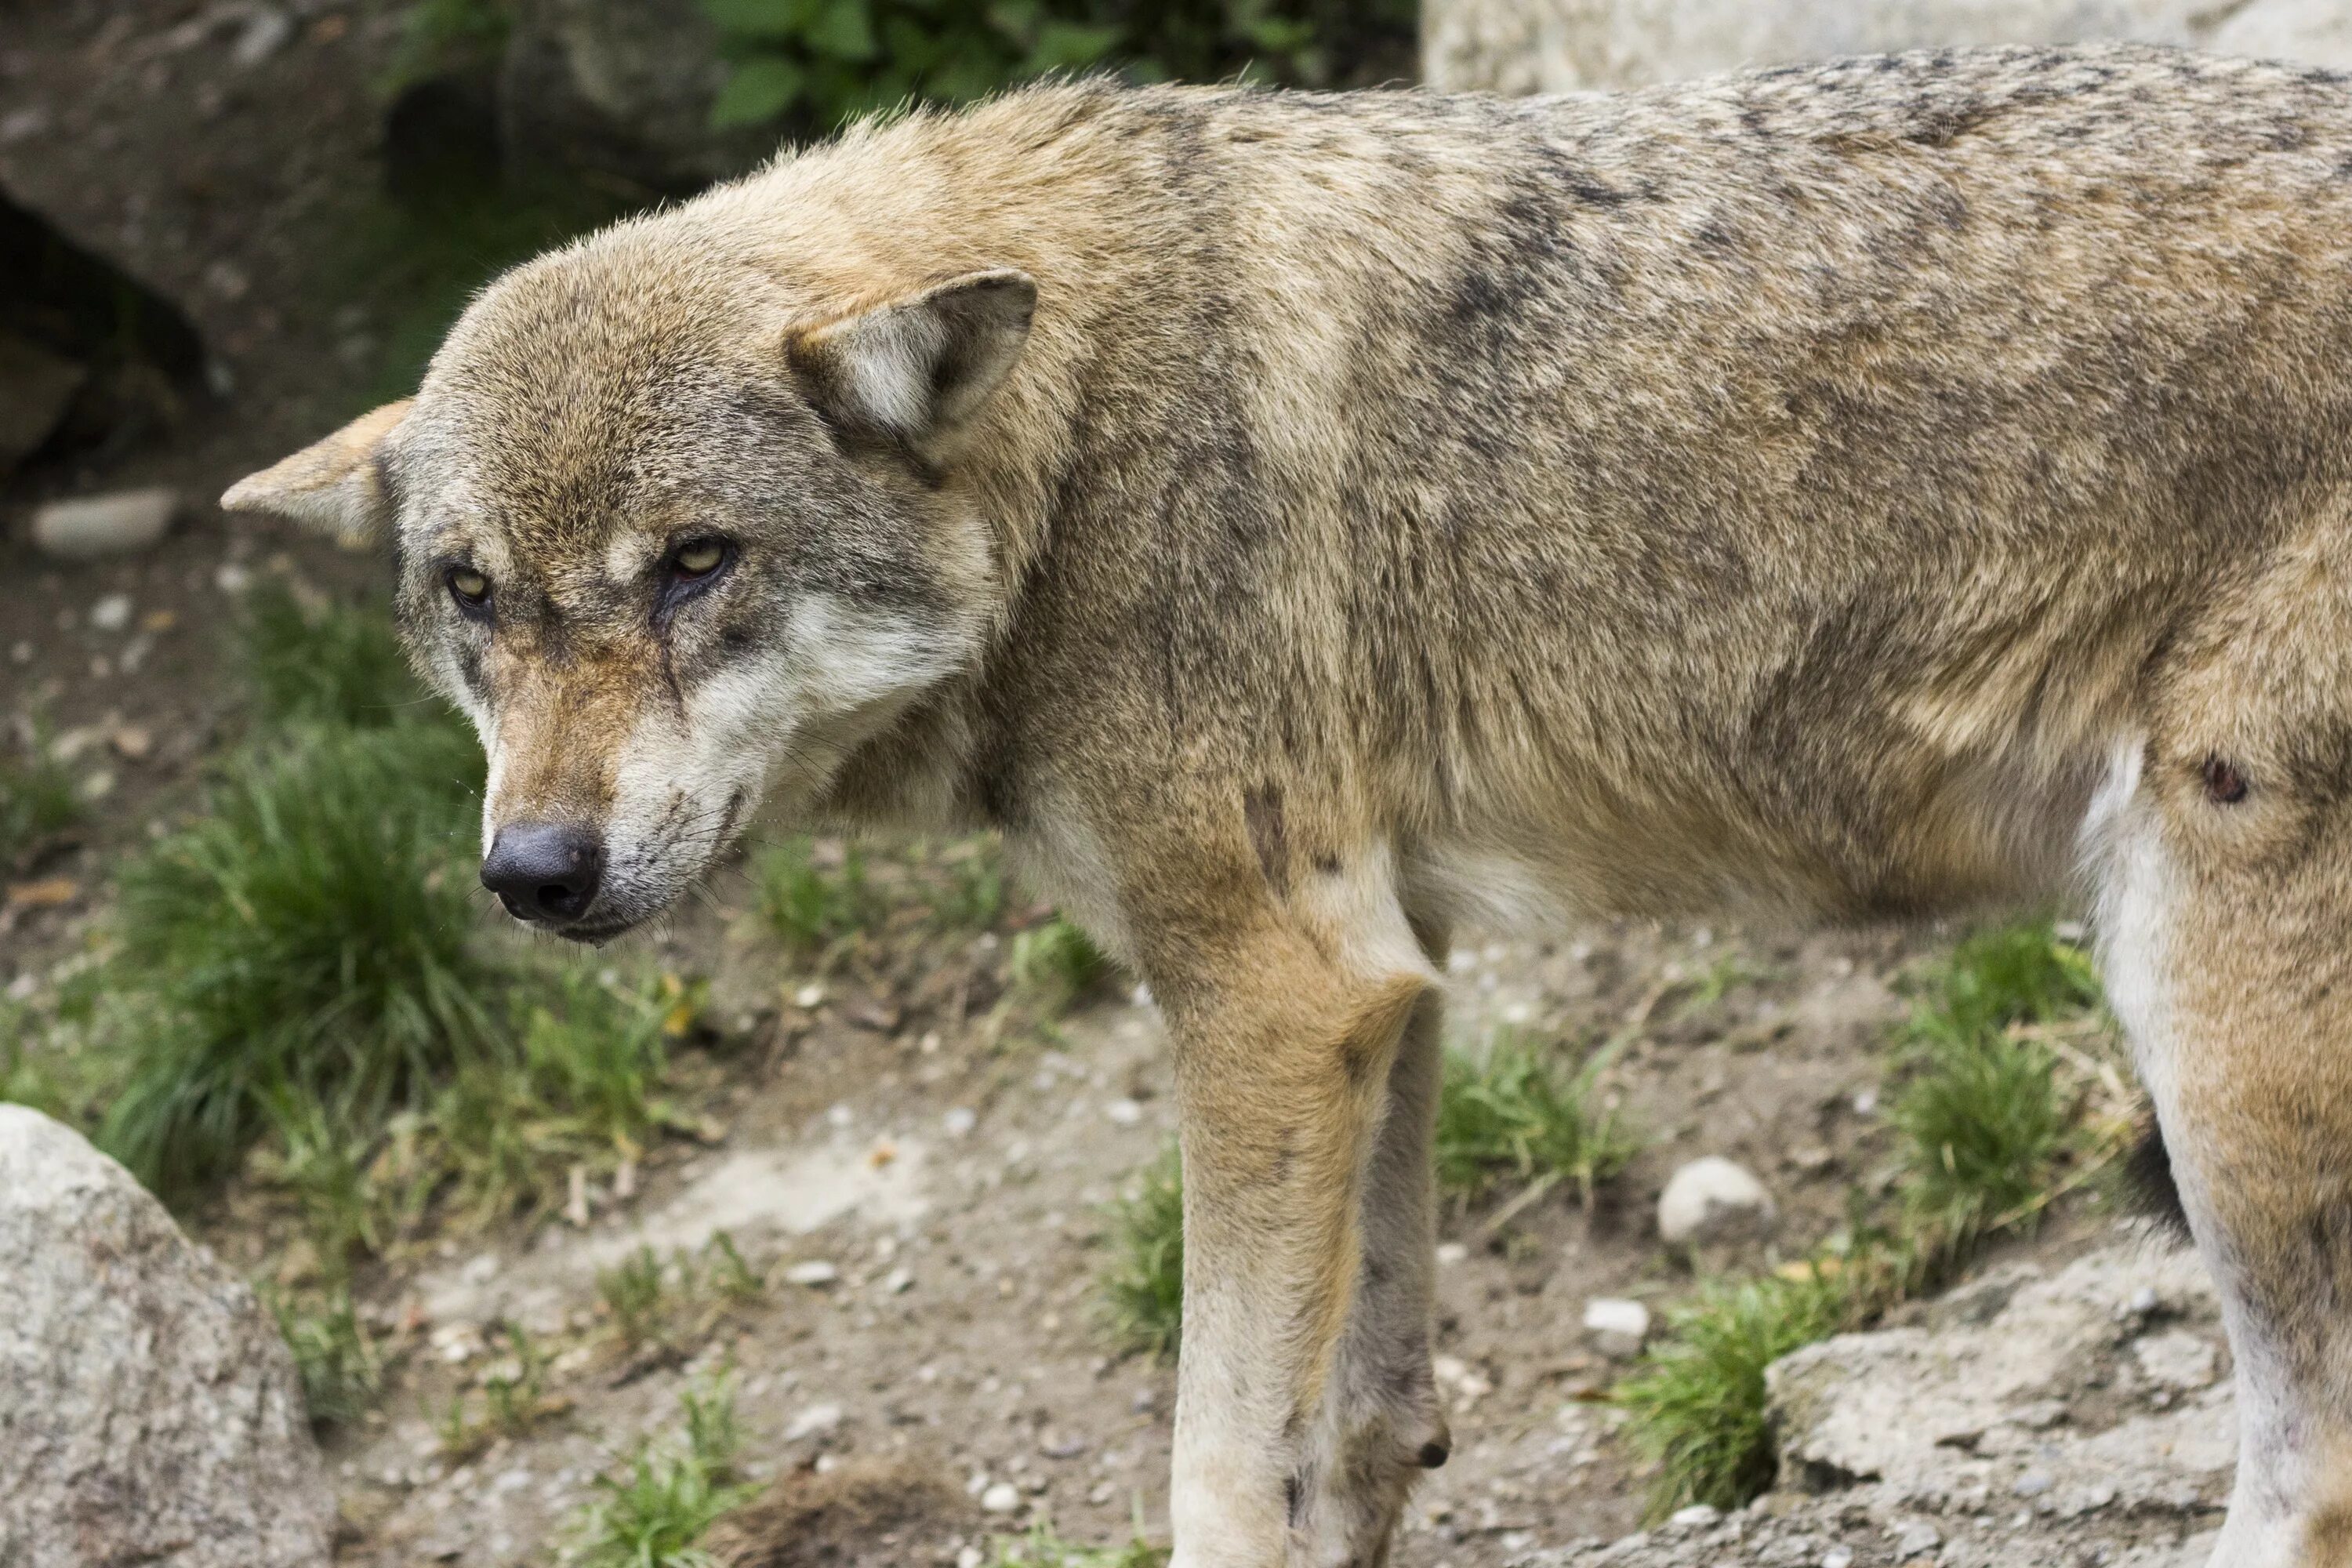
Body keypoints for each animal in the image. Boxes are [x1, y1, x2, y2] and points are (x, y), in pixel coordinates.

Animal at [224, 42, 2352, 1561]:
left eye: (691, 563)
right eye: (470, 596)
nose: (531, 869)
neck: (1076, 441)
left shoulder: (1263, 990)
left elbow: (1214, 1474)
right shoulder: (1379, 979)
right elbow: (1364, 1425)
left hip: (2204, 1023)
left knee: (2306, 1475)